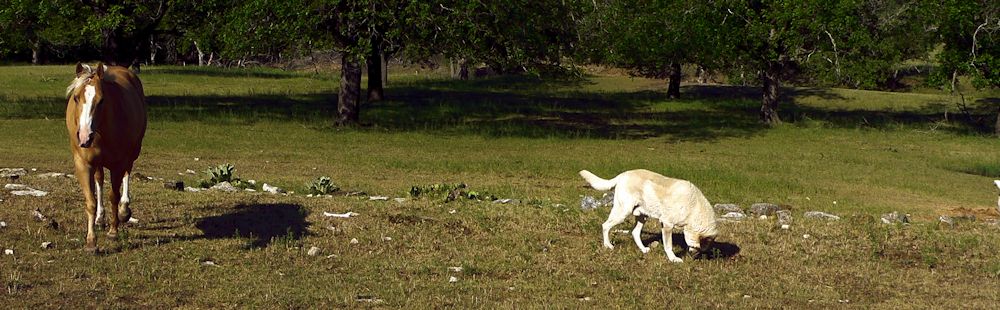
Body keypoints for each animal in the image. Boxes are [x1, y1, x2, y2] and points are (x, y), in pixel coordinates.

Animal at [65, 62, 148, 252]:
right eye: (76, 98)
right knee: (100, 180)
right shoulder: (83, 164)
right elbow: (91, 200)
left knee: (127, 174)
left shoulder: (118, 164)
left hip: (133, 152)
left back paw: (124, 210)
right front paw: (91, 241)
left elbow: (114, 196)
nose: (85, 136)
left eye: (101, 100)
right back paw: (100, 218)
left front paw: (113, 231)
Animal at [580, 170, 720, 262]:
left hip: (642, 216)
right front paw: (673, 259)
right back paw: (608, 245)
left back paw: (643, 250)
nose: (693, 259)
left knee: (635, 232)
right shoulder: (667, 224)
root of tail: (622, 175)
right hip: (622, 212)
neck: (694, 207)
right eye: (697, 247)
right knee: (605, 226)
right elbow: (668, 245)